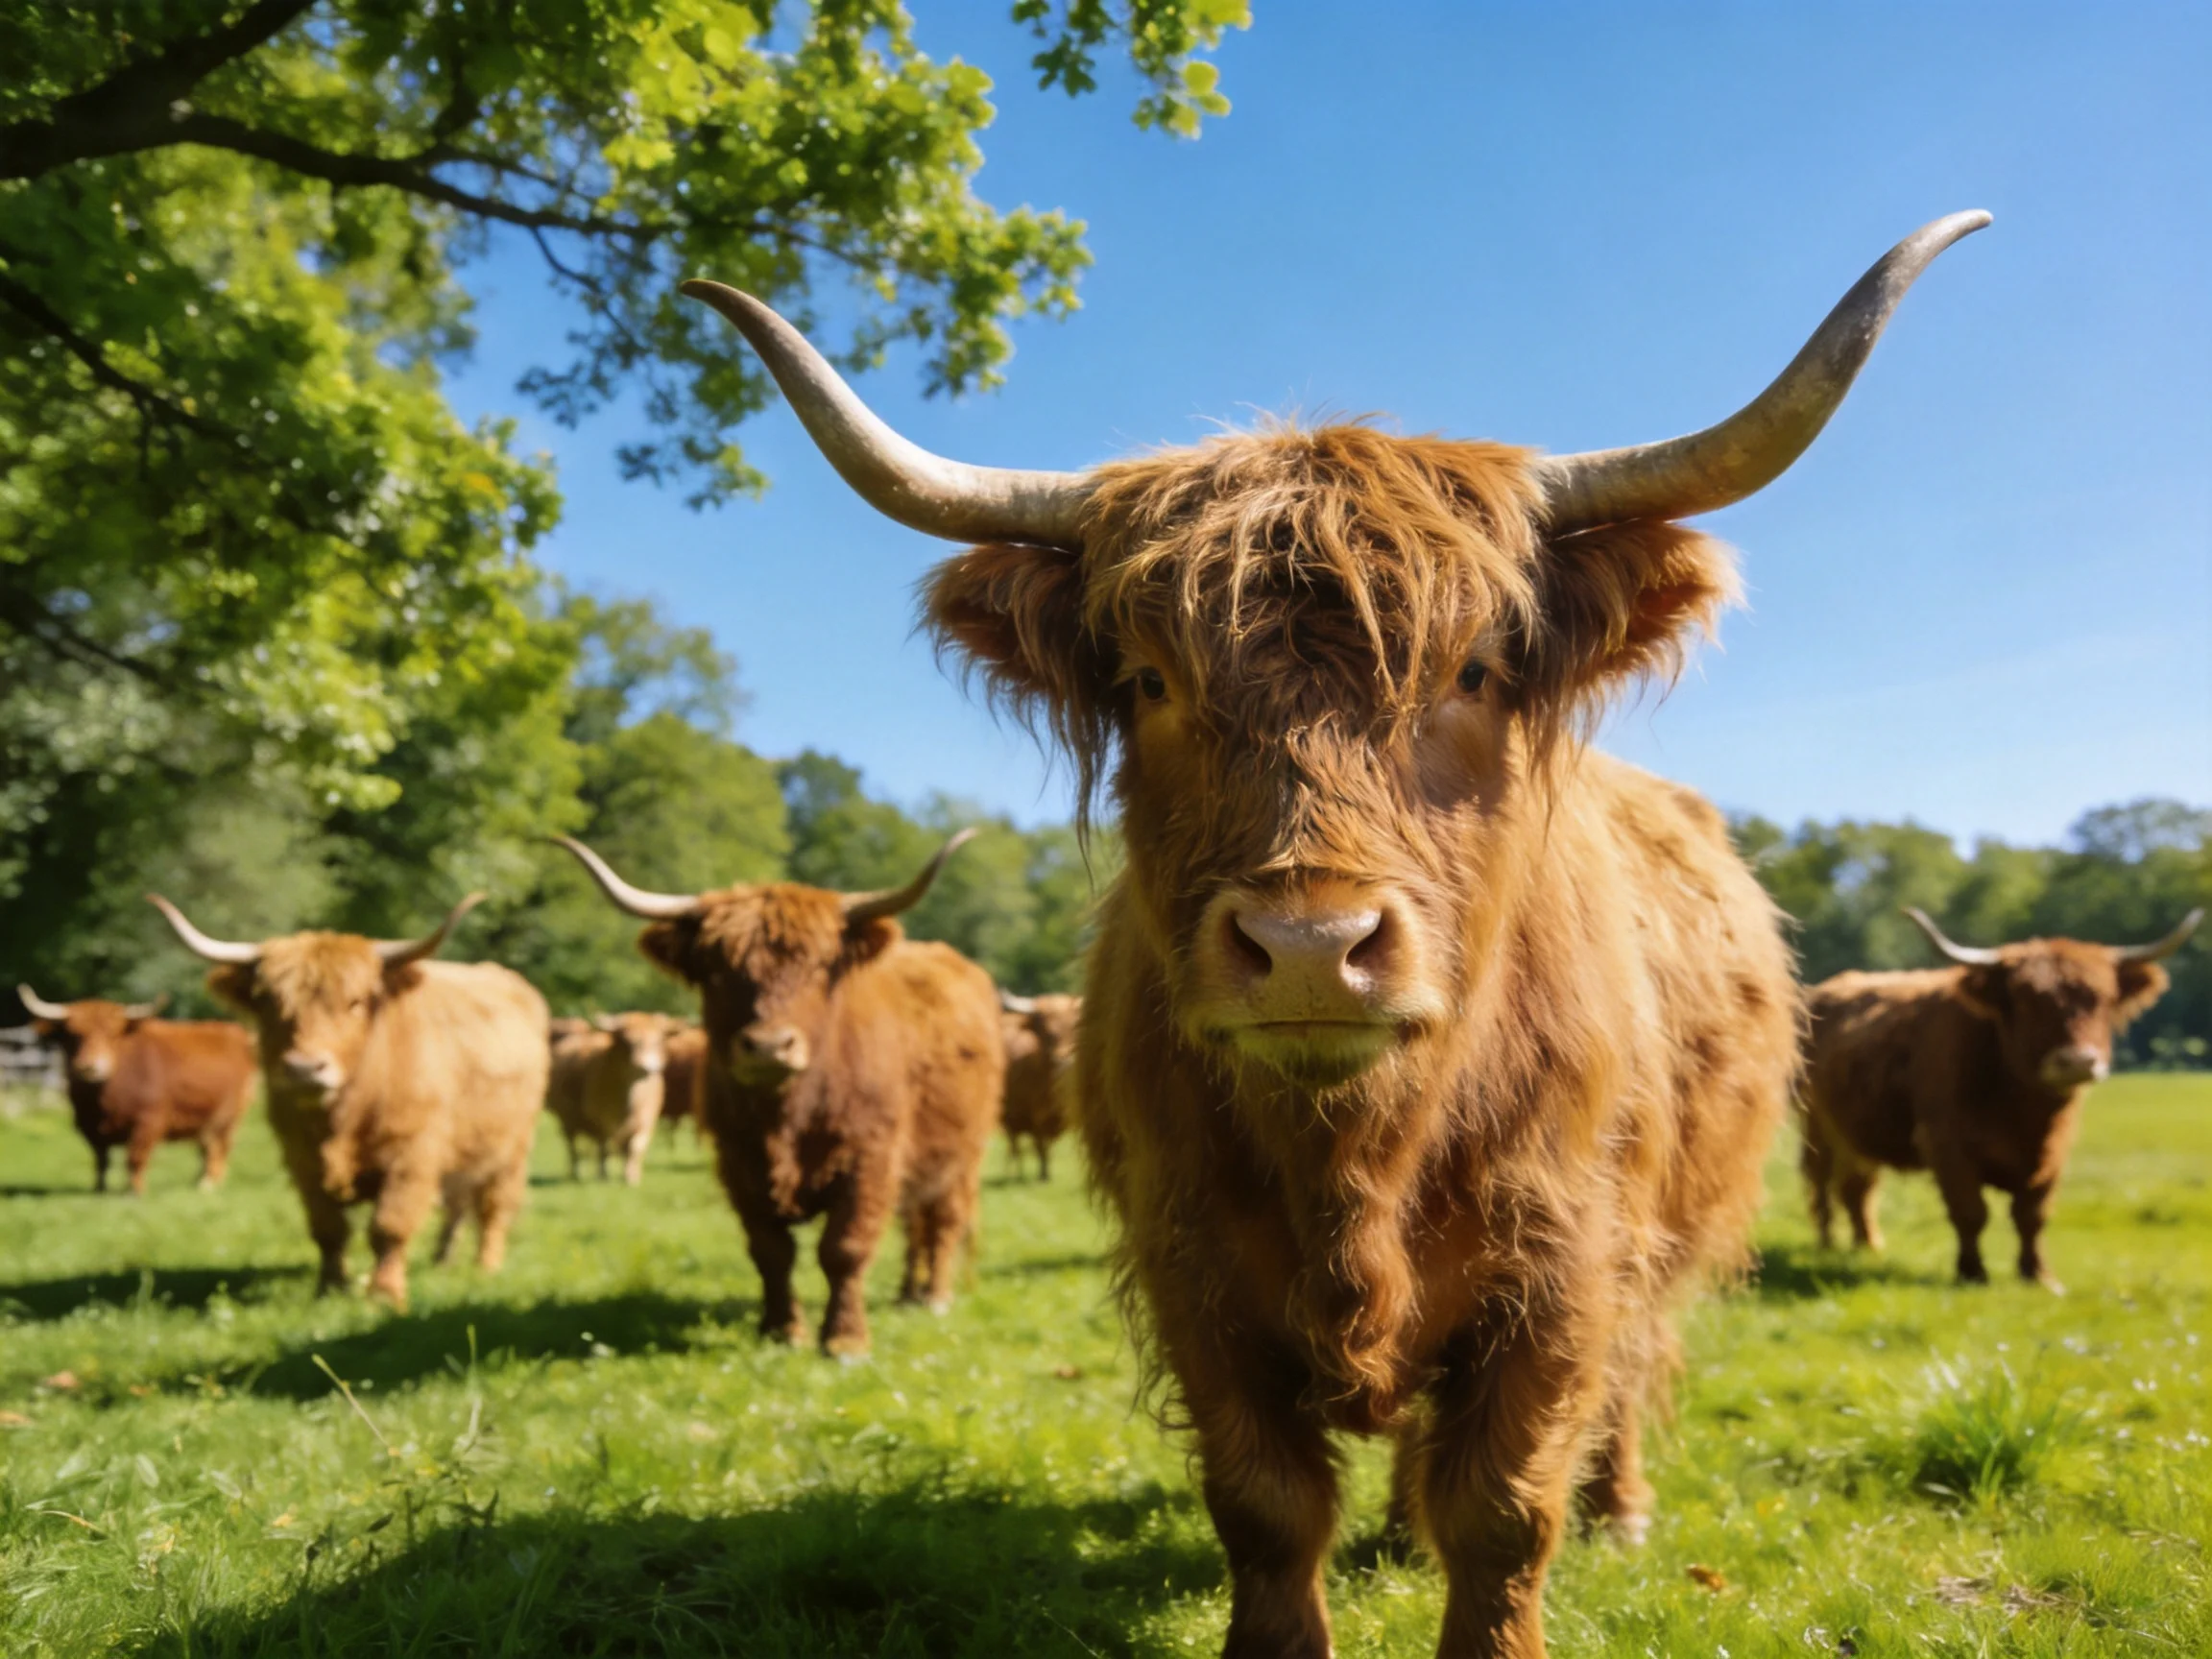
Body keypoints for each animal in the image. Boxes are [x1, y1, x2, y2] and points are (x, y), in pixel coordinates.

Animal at [17, 986, 256, 1194]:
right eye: (72, 1035)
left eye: (112, 1034)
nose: (89, 1067)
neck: (103, 1103)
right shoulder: (88, 1127)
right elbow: (101, 1161)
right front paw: (99, 1190)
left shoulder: (147, 1123)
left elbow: (135, 1158)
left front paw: (134, 1191)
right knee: (205, 1148)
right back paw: (199, 1180)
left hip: (228, 1118)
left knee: (219, 1148)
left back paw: (208, 1184)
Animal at [146, 893, 549, 1311]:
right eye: (270, 1003)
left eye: (355, 1002)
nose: (305, 1068)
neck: (343, 1118)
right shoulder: (302, 1160)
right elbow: (328, 1228)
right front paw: (330, 1288)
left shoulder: (411, 1156)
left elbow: (389, 1226)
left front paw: (385, 1294)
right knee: (456, 1204)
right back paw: (442, 1260)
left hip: (512, 1149)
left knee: (493, 1207)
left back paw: (486, 1265)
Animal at [545, 1010, 685, 1184]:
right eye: (627, 1042)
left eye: (658, 1041)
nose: (648, 1068)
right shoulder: (600, 1121)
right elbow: (603, 1148)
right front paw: (603, 1175)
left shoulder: (646, 1120)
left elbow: (635, 1148)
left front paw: (631, 1177)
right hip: (567, 1120)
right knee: (573, 1147)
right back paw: (576, 1172)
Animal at [998, 991, 1080, 1180]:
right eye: (1047, 1033)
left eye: (1074, 1028)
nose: (1062, 1059)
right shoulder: (1035, 1115)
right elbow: (1040, 1144)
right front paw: (1043, 1174)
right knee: (1014, 1145)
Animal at [1800, 905, 2202, 1293]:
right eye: (2027, 1001)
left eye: (2101, 998)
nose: (2077, 1061)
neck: (2022, 1109)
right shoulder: (1946, 1146)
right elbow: (1970, 1212)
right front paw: (1972, 1273)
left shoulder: (2054, 1153)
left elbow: (2032, 1215)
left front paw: (2039, 1276)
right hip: (1817, 1127)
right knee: (1821, 1183)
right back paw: (1825, 1244)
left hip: (1856, 1134)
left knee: (1857, 1188)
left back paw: (1867, 1246)